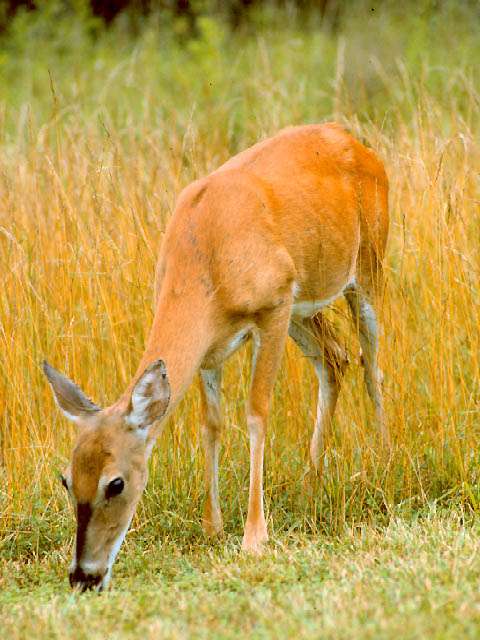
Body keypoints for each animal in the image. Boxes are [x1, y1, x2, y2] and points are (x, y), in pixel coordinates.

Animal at [44, 122, 390, 592]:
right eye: (66, 478)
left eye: (115, 483)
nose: (84, 576)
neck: (207, 258)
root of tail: (356, 142)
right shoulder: (212, 351)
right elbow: (212, 425)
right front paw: (213, 526)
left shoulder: (273, 306)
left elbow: (256, 413)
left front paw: (254, 536)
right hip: (307, 308)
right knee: (335, 359)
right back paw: (310, 484)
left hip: (366, 271)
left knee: (371, 365)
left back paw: (386, 463)